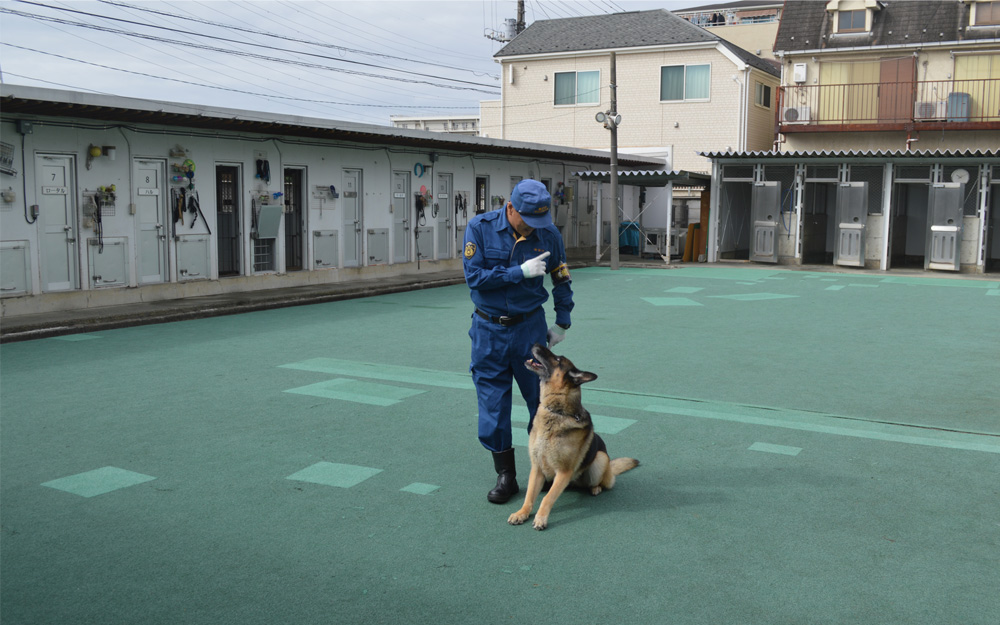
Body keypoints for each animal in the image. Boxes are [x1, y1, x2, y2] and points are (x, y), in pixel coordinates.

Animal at [508, 344, 640, 528]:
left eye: (557, 359)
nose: (535, 344)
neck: (556, 412)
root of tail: (610, 470)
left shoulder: (564, 472)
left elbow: (547, 498)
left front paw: (541, 518)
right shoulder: (537, 468)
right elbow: (529, 496)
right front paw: (522, 513)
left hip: (599, 459)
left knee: (602, 482)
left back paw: (596, 488)